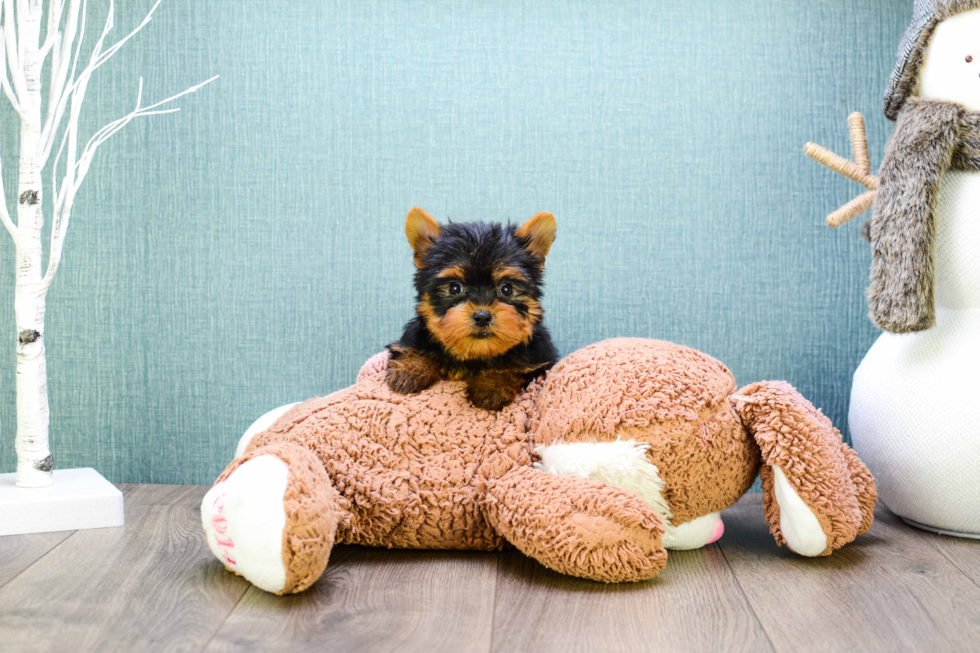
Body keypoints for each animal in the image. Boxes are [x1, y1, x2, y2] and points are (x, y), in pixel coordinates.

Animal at [388, 206, 564, 410]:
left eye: (507, 289)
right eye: (454, 288)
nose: (482, 316)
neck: (476, 354)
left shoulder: (539, 360)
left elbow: (513, 367)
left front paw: (492, 384)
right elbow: (416, 349)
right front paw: (410, 369)